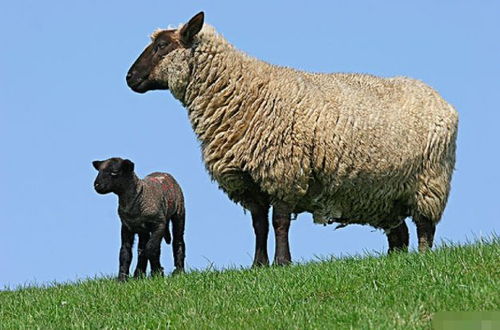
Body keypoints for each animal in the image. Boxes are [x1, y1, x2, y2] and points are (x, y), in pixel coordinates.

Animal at [125, 11, 458, 266]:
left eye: (162, 45)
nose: (129, 78)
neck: (243, 92)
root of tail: (439, 99)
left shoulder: (283, 170)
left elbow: (279, 222)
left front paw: (282, 262)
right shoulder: (249, 182)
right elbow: (259, 225)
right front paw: (258, 265)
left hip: (429, 182)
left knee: (425, 227)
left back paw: (423, 259)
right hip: (385, 193)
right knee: (399, 233)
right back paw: (395, 261)